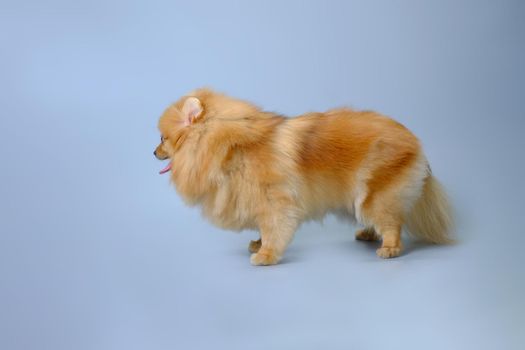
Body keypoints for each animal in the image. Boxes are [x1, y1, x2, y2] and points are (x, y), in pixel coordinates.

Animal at [154, 88, 452, 266]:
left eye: (163, 138)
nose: (153, 151)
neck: (229, 146)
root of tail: (413, 141)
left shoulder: (275, 201)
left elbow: (273, 229)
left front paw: (266, 254)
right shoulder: (258, 201)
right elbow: (263, 227)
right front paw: (258, 244)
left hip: (374, 195)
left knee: (391, 223)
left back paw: (389, 247)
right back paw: (369, 233)